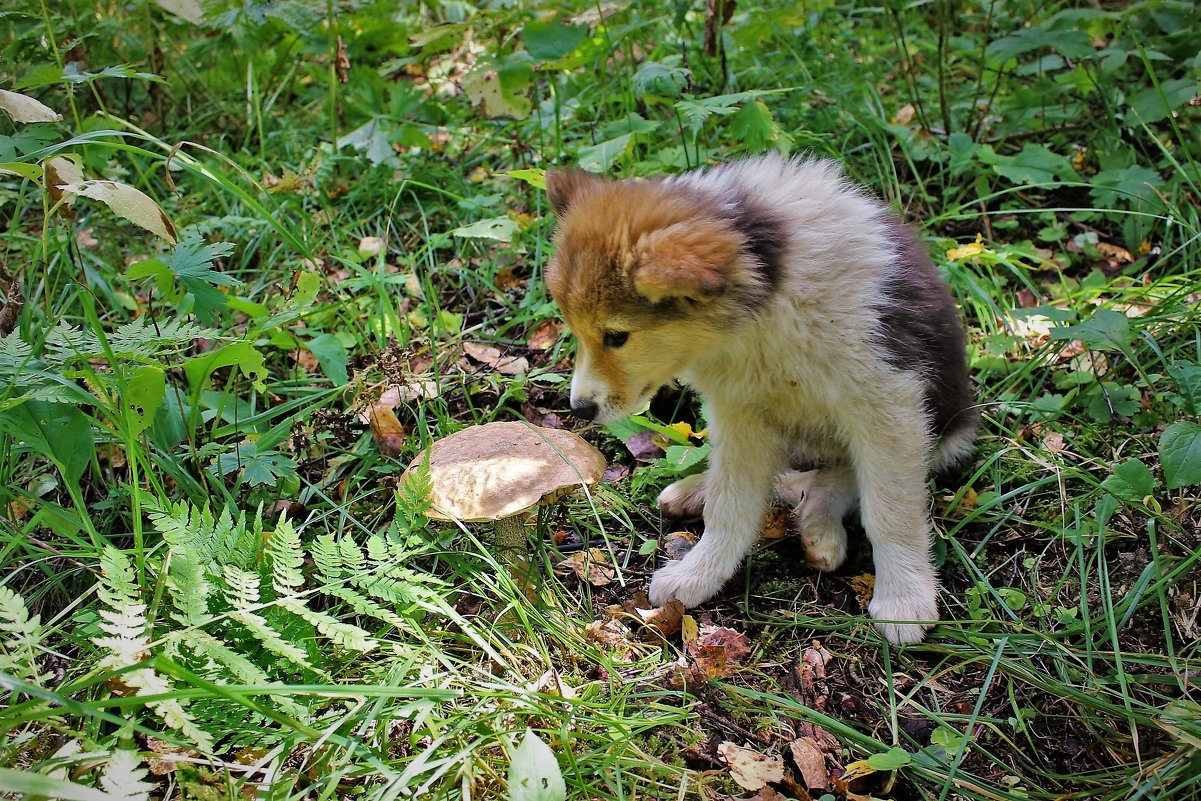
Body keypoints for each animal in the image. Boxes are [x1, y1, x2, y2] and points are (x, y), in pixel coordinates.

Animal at [545, 154, 975, 643]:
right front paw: (699, 574)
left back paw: (819, 523)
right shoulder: (740, 412)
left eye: (617, 336)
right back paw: (702, 491)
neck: (768, 303)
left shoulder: (888, 403)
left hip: (943, 431)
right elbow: (730, 504)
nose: (579, 409)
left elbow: (890, 512)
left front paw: (904, 599)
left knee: (839, 478)